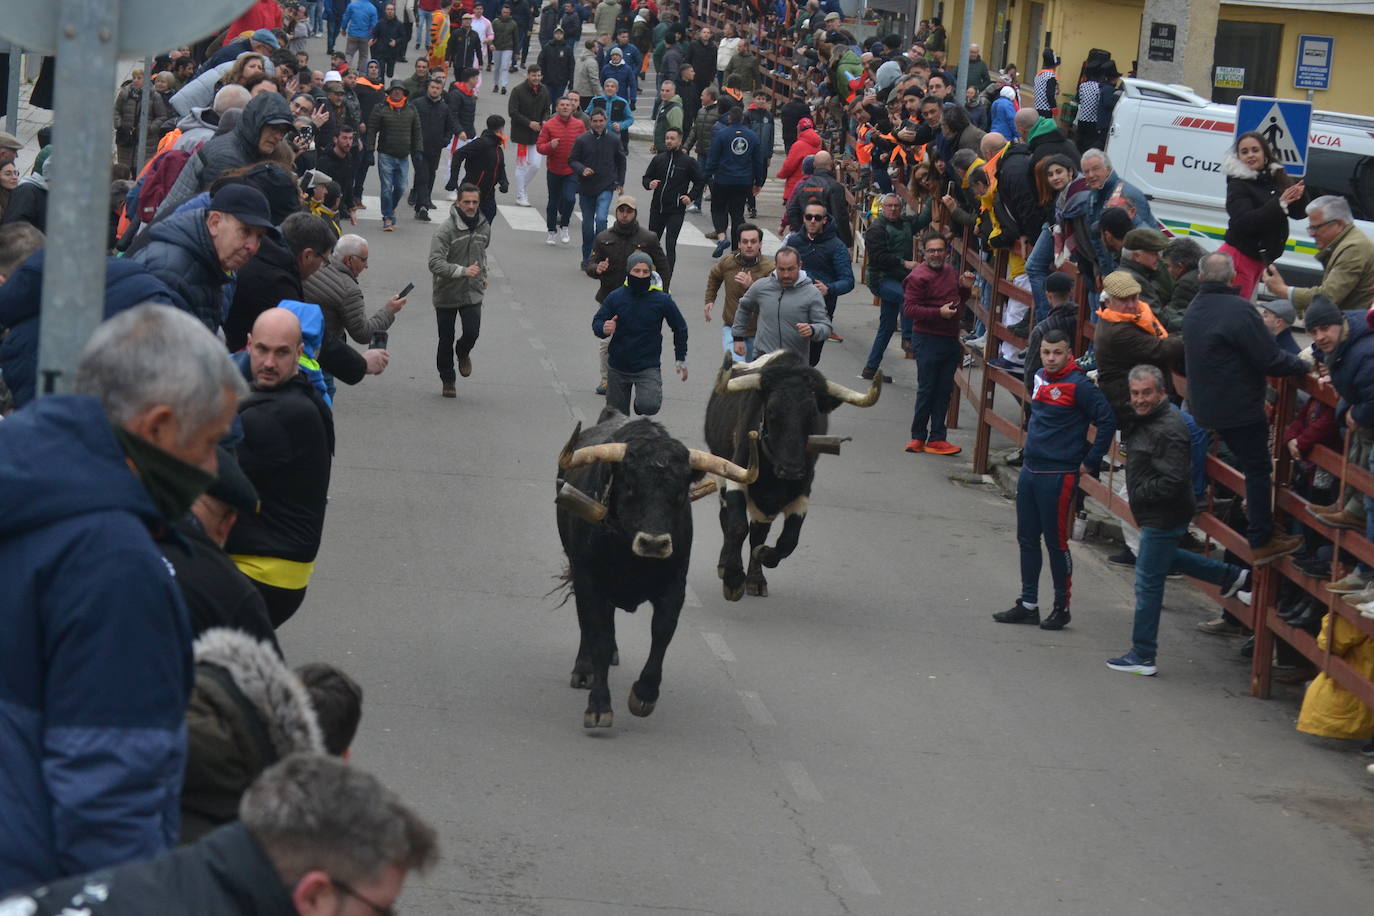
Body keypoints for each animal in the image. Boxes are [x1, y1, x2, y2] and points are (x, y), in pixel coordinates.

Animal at [552, 411, 758, 725]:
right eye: (629, 486)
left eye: (680, 493)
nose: (653, 543)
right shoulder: (589, 582)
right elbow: (598, 637)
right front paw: (598, 705)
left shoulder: (674, 586)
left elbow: (662, 633)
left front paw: (644, 694)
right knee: (590, 626)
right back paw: (584, 669)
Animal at [703, 351, 884, 601]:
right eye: (771, 411)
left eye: (813, 415)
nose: (791, 469)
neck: (774, 478)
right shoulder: (736, 478)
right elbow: (737, 526)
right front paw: (733, 579)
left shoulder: (801, 493)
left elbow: (787, 541)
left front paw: (762, 557)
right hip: (719, 467)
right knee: (726, 520)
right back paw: (725, 566)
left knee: (758, 533)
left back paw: (756, 579)